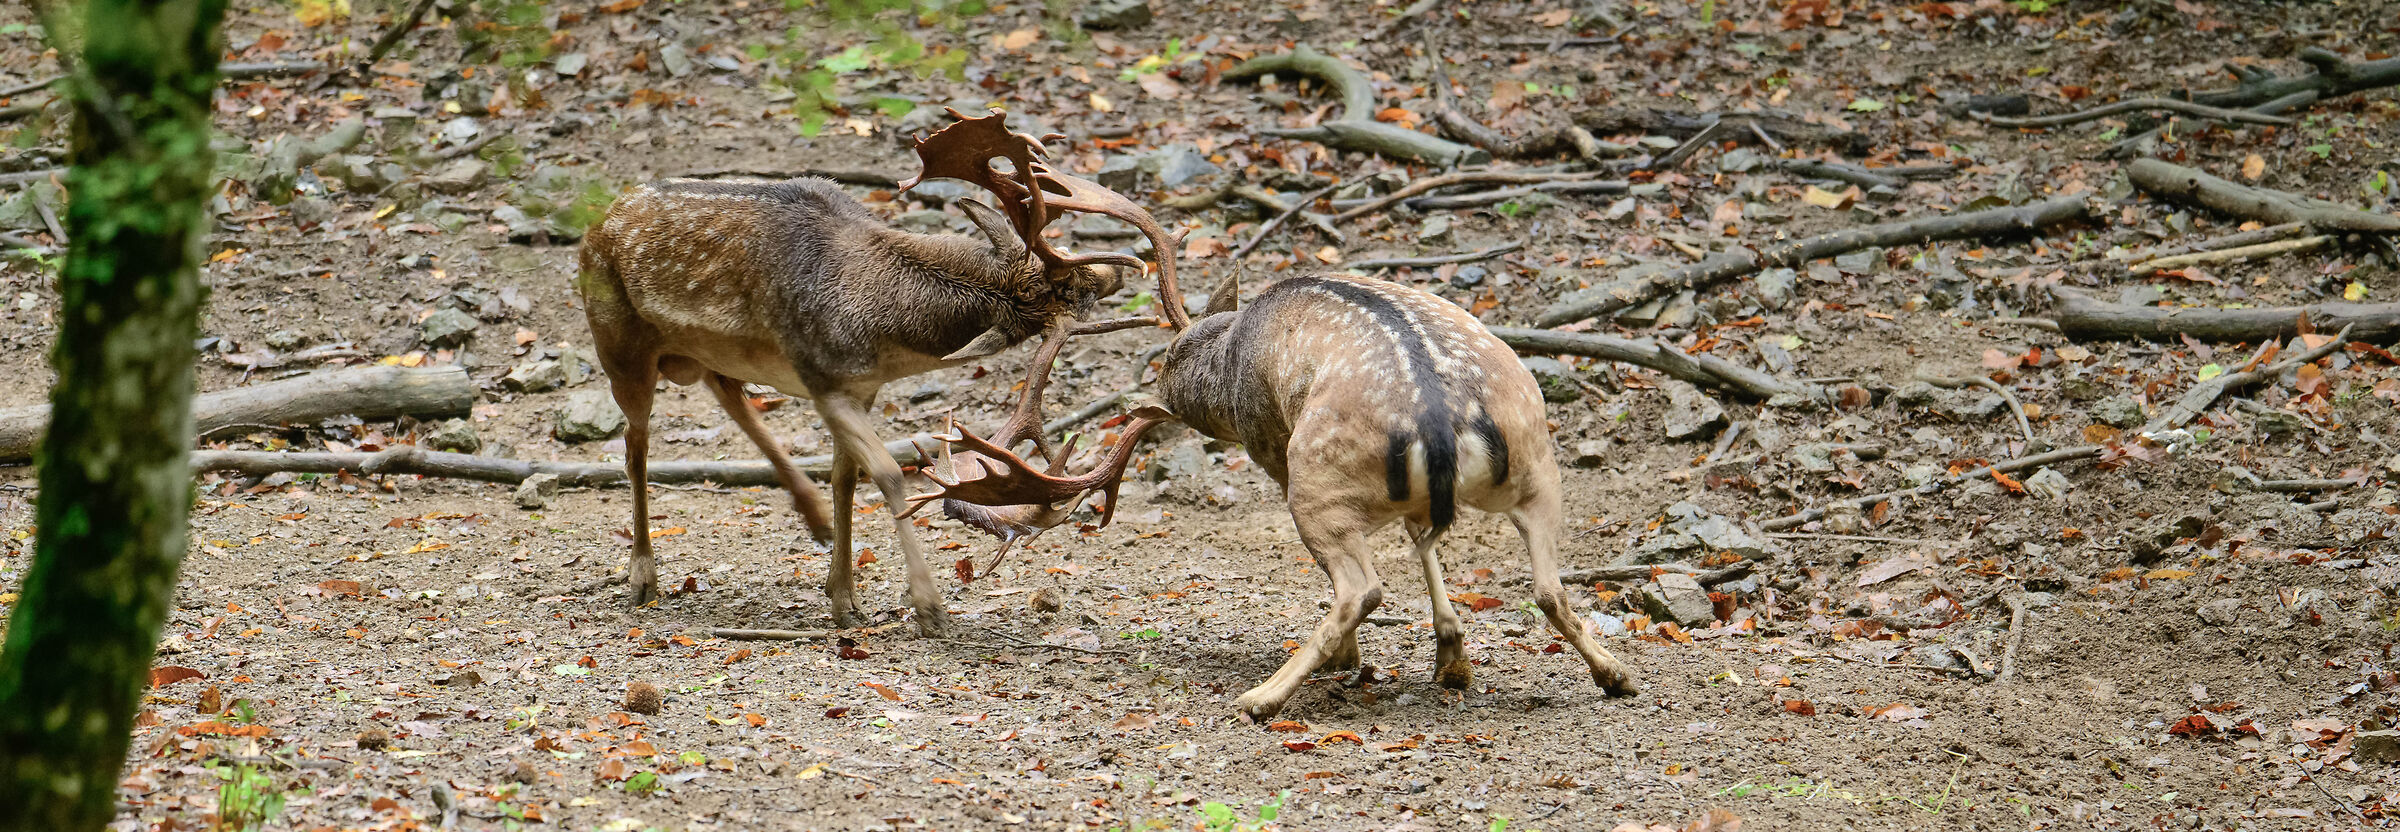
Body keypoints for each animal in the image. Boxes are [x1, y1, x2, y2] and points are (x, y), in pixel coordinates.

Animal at [574, 109, 1182, 636]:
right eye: (1066, 292)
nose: (1115, 274)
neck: (880, 335)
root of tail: (598, 222)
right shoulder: (821, 378)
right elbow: (889, 474)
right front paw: (929, 608)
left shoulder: (861, 387)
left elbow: (847, 479)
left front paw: (844, 598)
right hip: (618, 343)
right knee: (634, 444)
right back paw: (642, 576)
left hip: (710, 353)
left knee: (722, 389)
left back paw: (812, 517)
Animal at [917, 226, 1639, 721]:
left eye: (1168, 370)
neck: (1228, 353)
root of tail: (1440, 422)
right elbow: (1423, 540)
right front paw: (1452, 659)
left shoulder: (1269, 442)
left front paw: (1363, 659)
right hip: (1539, 462)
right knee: (1546, 584)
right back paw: (1617, 676)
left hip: (1317, 481)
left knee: (1361, 587)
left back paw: (1263, 697)